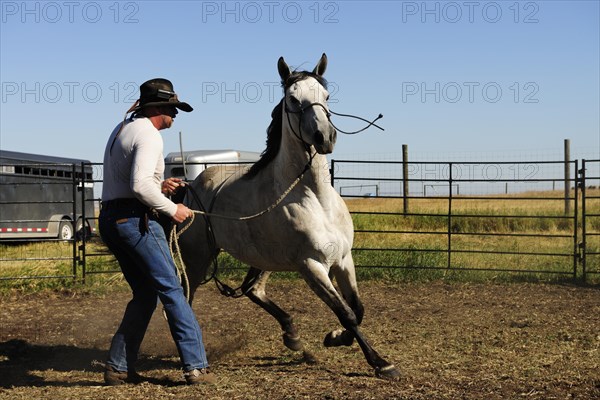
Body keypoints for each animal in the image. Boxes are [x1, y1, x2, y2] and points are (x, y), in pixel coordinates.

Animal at [176, 54, 400, 382]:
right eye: (293, 99)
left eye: (326, 96)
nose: (325, 137)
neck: (315, 199)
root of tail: (193, 187)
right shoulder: (311, 265)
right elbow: (346, 312)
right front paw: (381, 362)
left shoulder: (343, 259)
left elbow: (358, 309)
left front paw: (334, 338)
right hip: (198, 258)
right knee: (187, 297)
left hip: (262, 258)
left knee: (254, 290)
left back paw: (293, 337)